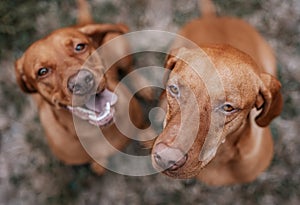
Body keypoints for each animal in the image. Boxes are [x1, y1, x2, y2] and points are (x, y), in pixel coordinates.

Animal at [14, 0, 148, 175]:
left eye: (79, 46)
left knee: (130, 68)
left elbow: (144, 128)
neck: (95, 132)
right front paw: (99, 164)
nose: (83, 82)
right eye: (42, 71)